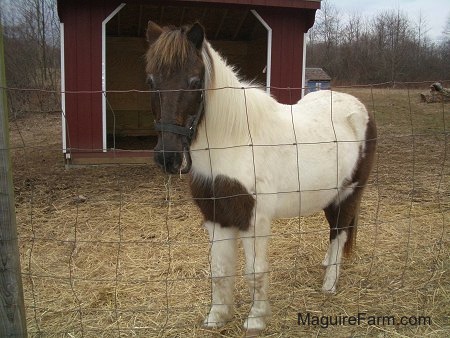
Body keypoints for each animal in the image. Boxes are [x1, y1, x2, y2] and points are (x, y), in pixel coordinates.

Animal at [144, 21, 376, 332]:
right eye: (151, 82)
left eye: (194, 82)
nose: (167, 157)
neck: (235, 140)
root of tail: (356, 107)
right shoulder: (216, 218)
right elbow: (219, 270)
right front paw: (217, 317)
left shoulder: (254, 221)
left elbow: (255, 271)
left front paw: (256, 319)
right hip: (331, 196)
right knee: (334, 232)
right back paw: (327, 266)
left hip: (349, 193)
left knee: (339, 233)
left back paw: (329, 285)